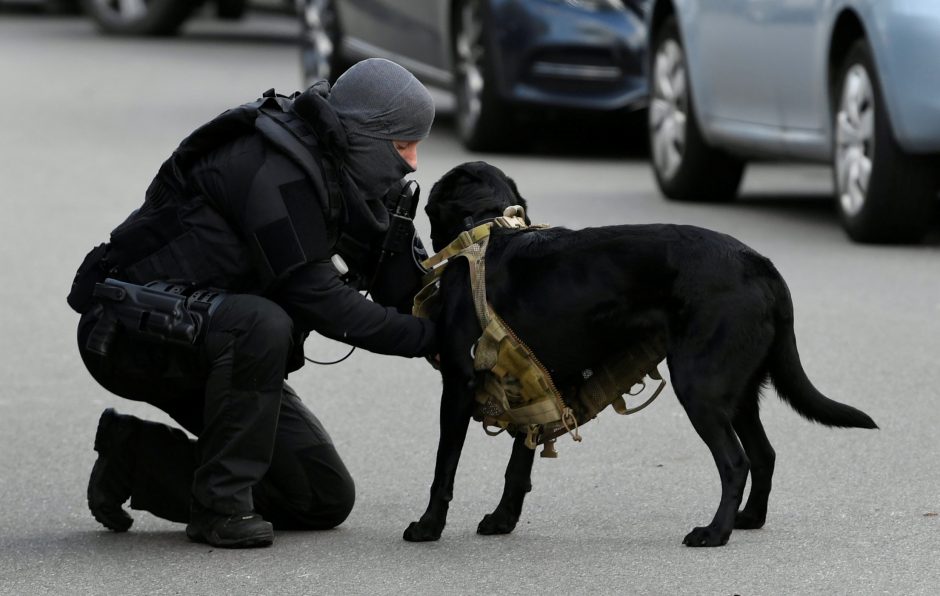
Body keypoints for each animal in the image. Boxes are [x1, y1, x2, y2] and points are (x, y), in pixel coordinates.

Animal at [406, 161, 880, 548]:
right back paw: (748, 519)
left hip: (700, 388)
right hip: (739, 391)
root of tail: (762, 265)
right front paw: (503, 520)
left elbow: (443, 468)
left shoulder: (459, 383)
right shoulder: (531, 386)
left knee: (736, 462)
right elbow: (517, 466)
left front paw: (428, 527)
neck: (489, 229)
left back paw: (715, 533)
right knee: (764, 455)